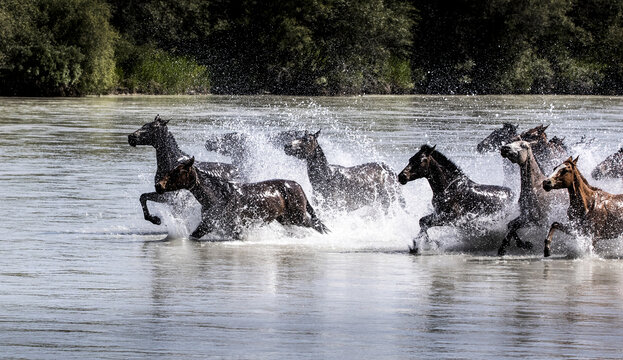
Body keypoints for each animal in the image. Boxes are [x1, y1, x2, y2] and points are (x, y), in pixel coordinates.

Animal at [156, 156, 330, 238]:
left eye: (178, 171)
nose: (159, 185)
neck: (219, 195)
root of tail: (297, 185)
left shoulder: (233, 227)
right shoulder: (208, 224)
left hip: (298, 217)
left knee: (317, 225)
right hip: (286, 219)